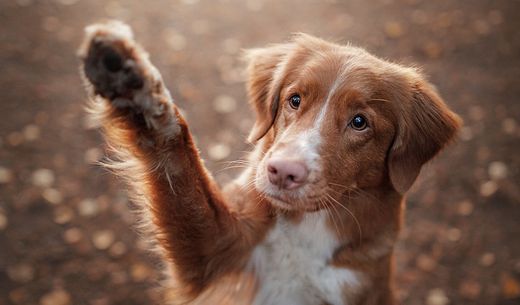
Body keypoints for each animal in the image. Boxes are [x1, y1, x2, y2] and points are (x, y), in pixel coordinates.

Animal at [77, 21, 460, 304]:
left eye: (359, 122)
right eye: (295, 99)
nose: (283, 172)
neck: (306, 232)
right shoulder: (218, 251)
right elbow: (178, 162)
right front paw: (132, 83)